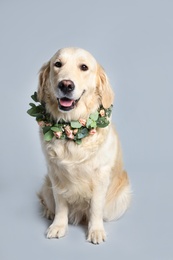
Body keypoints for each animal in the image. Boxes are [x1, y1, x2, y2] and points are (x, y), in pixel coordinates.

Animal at [36, 47, 131, 244]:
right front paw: (58, 226)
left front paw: (95, 231)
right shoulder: (55, 173)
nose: (66, 85)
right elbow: (60, 203)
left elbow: (95, 207)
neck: (72, 129)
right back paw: (49, 212)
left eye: (84, 67)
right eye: (58, 64)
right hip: (47, 185)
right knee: (46, 199)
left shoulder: (101, 175)